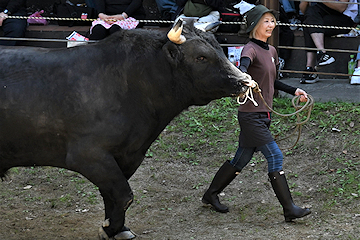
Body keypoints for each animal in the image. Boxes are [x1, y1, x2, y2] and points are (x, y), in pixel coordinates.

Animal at [0, 23, 252, 239]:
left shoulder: (129, 155)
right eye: (201, 57)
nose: (244, 81)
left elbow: (111, 196)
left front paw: (116, 228)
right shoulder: (88, 155)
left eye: (220, 49)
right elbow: (123, 196)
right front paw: (110, 228)